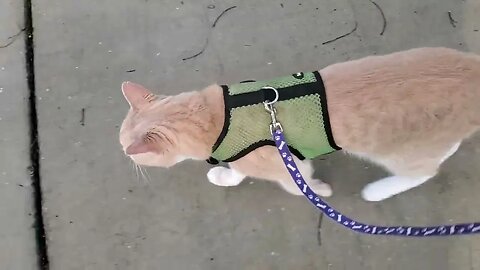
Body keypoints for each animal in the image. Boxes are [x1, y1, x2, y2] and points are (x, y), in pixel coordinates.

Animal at [117, 47, 480, 201]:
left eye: (126, 149)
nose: (124, 157)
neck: (214, 118)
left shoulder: (288, 165)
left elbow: (294, 184)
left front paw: (319, 190)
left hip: (397, 152)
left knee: (423, 172)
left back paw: (378, 191)